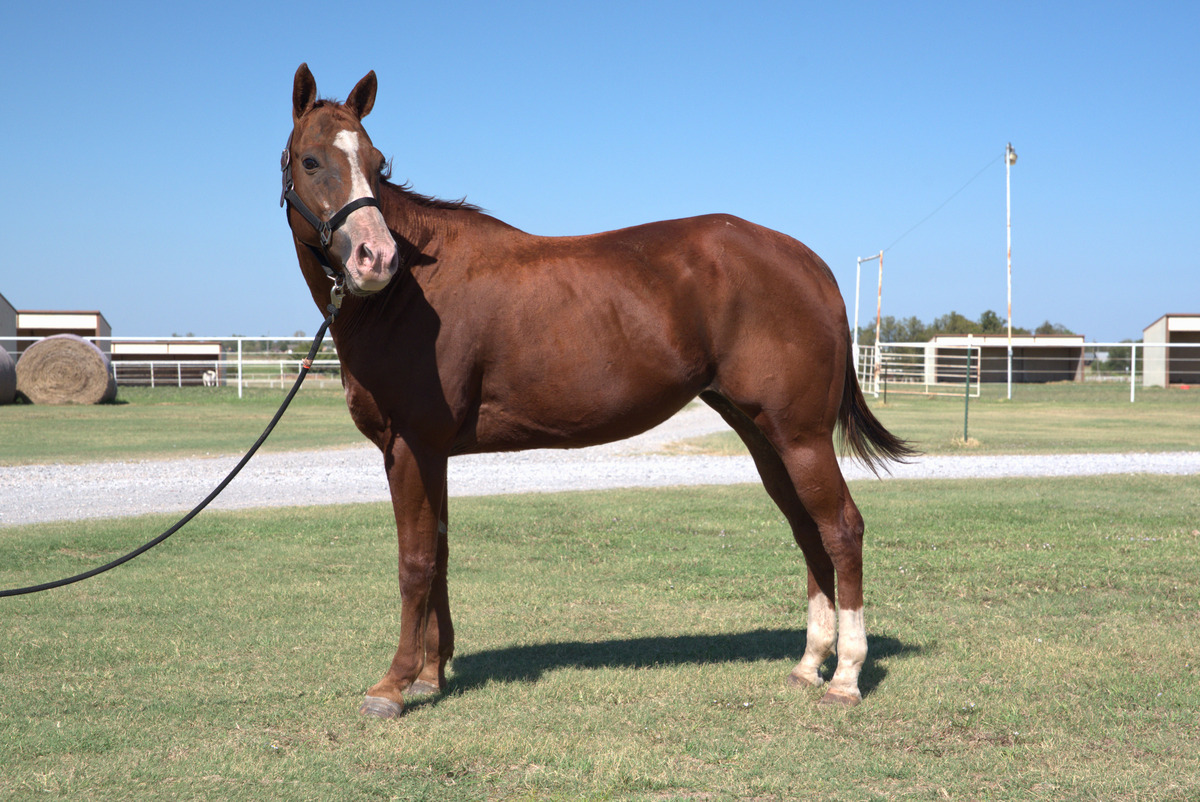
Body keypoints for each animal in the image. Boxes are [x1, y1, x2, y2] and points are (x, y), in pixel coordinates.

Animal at [281, 63, 912, 718]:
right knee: (807, 531)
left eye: (377, 163)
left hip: (801, 436)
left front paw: (393, 685)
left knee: (841, 529)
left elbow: (415, 561)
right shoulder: (428, 453)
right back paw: (810, 664)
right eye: (310, 160)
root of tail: (810, 264)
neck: (412, 293)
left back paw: (846, 675)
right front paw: (431, 674)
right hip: (766, 437)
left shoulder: (411, 446)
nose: (375, 258)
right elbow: (440, 556)